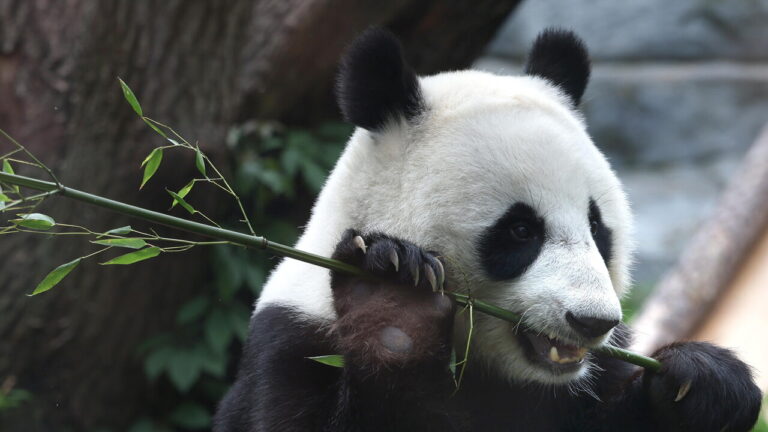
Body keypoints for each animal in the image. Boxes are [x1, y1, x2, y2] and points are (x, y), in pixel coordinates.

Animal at [215, 28, 762, 431]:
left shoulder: (591, 376)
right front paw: (394, 304)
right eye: (520, 230)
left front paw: (706, 385)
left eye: (597, 227)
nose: (593, 321)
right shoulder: (293, 341)